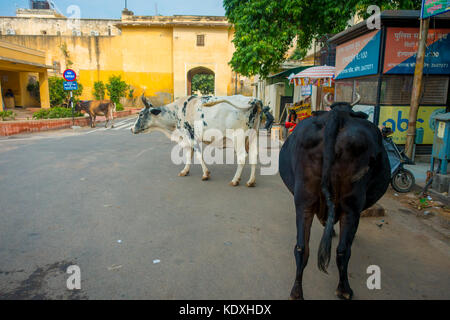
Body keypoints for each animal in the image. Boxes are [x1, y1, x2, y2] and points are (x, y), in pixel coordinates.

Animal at [132, 94, 262, 186]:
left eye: (141, 114)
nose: (132, 129)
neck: (176, 112)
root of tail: (253, 99)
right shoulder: (187, 139)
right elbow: (189, 155)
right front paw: (185, 171)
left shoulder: (190, 135)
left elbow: (198, 155)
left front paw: (205, 174)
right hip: (253, 136)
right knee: (253, 156)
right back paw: (251, 181)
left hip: (238, 137)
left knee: (242, 157)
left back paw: (235, 180)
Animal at [280, 93, 388, 300]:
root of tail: (337, 116)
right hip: (351, 205)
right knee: (343, 250)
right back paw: (344, 289)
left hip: (304, 202)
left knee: (302, 248)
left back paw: (296, 291)